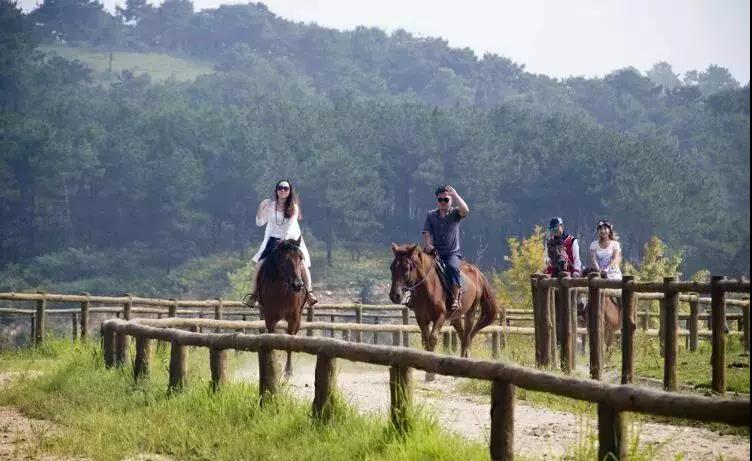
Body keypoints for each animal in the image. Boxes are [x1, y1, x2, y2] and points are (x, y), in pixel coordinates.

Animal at [256, 236, 308, 376]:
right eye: (284, 260)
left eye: (300, 257)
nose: (298, 285)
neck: (283, 290)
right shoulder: (270, 318)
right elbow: (271, 338)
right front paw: (272, 364)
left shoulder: (294, 318)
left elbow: (290, 339)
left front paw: (288, 371)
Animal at [388, 243, 501, 377]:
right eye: (392, 268)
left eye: (406, 268)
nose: (394, 295)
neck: (428, 287)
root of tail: (478, 273)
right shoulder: (421, 318)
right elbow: (426, 340)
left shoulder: (440, 317)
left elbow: (432, 339)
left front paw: (429, 373)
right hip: (456, 317)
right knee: (462, 334)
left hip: (471, 312)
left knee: (467, 335)